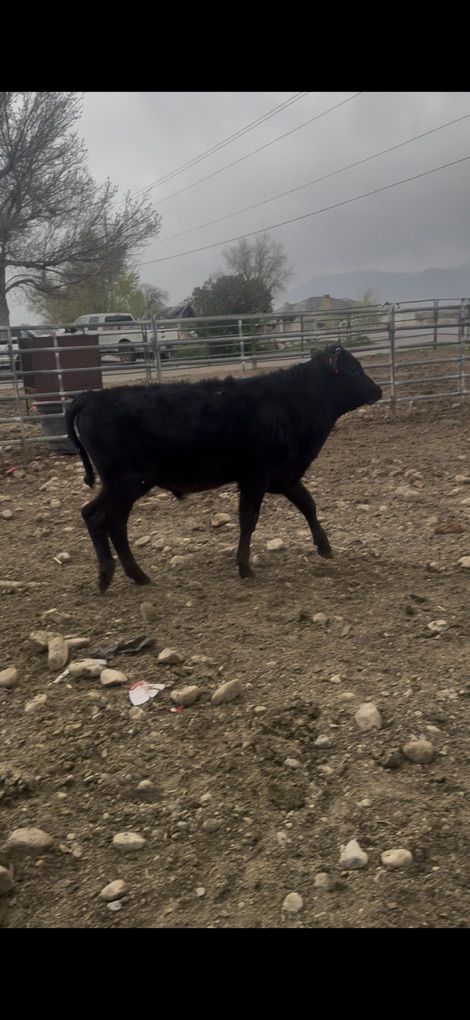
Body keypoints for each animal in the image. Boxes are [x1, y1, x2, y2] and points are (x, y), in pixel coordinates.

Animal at [65, 344, 382, 592]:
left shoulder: (284, 477)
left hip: (120, 485)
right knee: (101, 519)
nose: (378, 390)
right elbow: (249, 519)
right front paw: (244, 566)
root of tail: (91, 397)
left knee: (106, 520)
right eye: (354, 371)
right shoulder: (255, 477)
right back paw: (109, 574)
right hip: (128, 482)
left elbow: (308, 505)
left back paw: (136, 575)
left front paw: (324, 547)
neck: (289, 402)